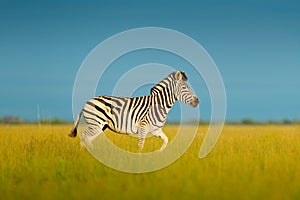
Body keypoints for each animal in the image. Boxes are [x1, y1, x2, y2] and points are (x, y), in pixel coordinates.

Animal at [68, 71, 199, 151]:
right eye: (185, 88)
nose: (198, 101)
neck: (158, 106)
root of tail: (86, 102)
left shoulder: (156, 130)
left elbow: (166, 140)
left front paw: (159, 153)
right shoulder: (143, 127)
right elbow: (140, 146)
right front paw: (139, 163)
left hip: (100, 126)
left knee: (86, 138)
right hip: (96, 124)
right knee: (85, 136)